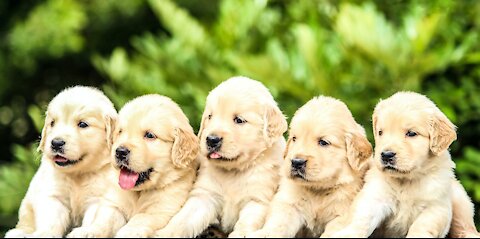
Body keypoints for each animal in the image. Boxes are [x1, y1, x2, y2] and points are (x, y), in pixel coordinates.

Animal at [4, 85, 118, 237]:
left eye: (83, 124)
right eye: (52, 123)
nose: (56, 143)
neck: (78, 175)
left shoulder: (101, 199)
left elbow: (98, 220)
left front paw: (86, 232)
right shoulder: (54, 196)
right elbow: (51, 220)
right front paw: (43, 234)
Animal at [156, 76, 286, 237]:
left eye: (239, 120)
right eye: (210, 117)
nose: (212, 139)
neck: (234, 172)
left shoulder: (257, 200)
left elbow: (245, 225)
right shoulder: (204, 195)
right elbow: (182, 220)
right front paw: (164, 233)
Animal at [249, 96, 374, 237]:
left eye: (323, 142)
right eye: (294, 139)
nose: (296, 162)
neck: (318, 190)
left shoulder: (342, 215)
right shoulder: (289, 205)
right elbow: (277, 224)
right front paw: (263, 233)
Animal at [328, 91, 478, 237]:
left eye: (411, 133)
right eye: (380, 132)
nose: (386, 155)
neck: (407, 180)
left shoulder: (437, 207)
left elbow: (421, 226)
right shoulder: (376, 196)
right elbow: (362, 219)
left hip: (461, 201)